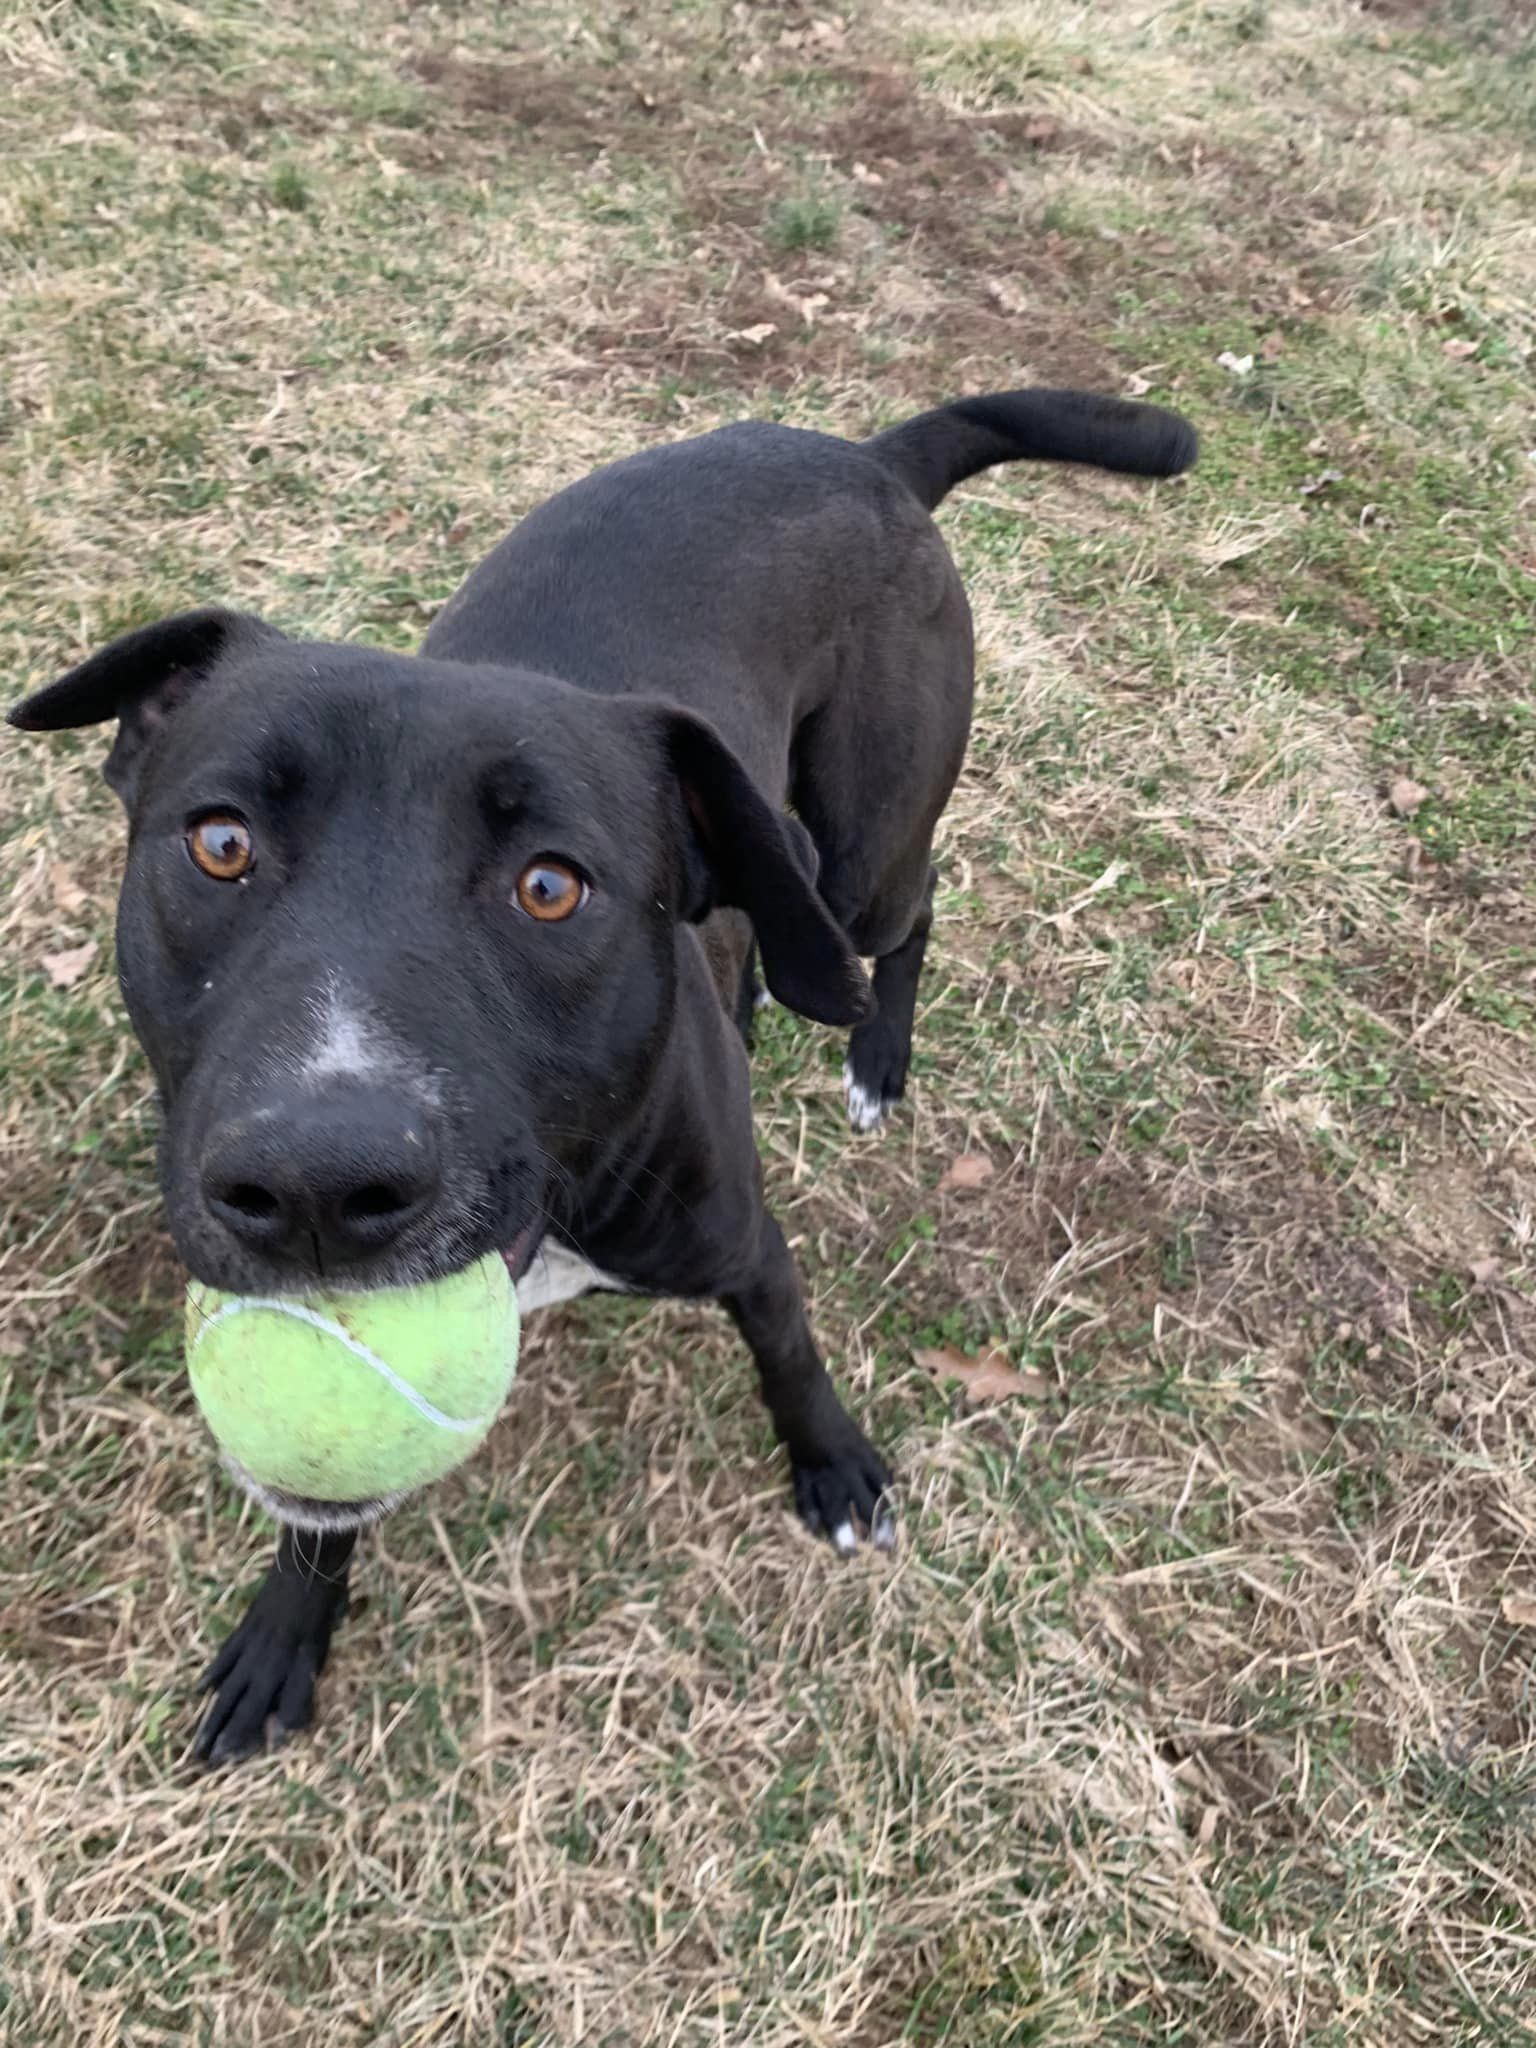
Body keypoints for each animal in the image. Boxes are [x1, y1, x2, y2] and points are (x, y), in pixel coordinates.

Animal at [6, 387, 1196, 1761]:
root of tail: (865, 454)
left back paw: (877, 1056)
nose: (313, 1186)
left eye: (550, 885)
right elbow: (321, 1504)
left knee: (904, 912)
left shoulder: (748, 1250)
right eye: (219, 843)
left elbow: (792, 1358)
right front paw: (285, 1631)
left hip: (871, 836)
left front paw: (835, 1467)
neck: (552, 1215)